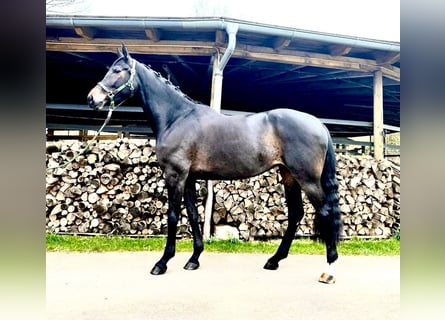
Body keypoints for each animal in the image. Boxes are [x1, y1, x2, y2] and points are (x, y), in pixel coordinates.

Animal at [86, 43, 340, 284]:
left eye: (118, 70)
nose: (91, 98)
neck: (177, 118)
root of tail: (318, 124)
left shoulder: (175, 175)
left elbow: (173, 216)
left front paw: (162, 262)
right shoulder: (188, 177)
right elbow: (192, 215)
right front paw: (194, 259)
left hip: (307, 179)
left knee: (325, 212)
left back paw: (328, 269)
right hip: (288, 175)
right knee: (295, 214)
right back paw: (274, 260)